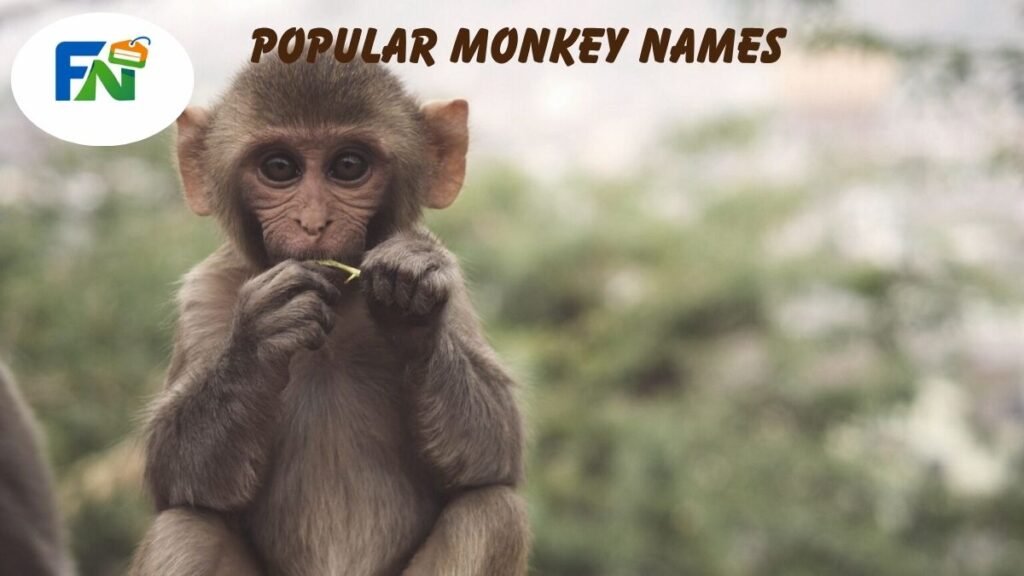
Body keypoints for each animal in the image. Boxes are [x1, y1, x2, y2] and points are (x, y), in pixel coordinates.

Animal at [129, 57, 528, 576]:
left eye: (349, 166)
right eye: (279, 168)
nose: (314, 223)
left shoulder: (453, 285)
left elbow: (496, 450)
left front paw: (411, 306)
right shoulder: (204, 294)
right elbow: (173, 473)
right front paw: (261, 337)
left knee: (493, 510)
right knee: (186, 528)